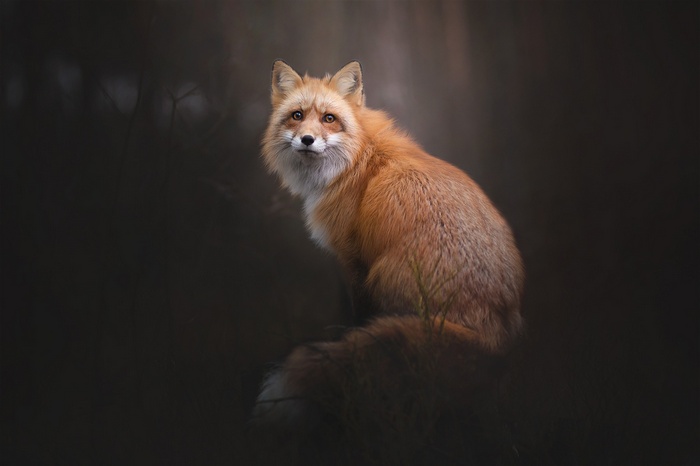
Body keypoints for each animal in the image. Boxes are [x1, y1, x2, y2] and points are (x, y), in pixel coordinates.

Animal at [254, 60, 525, 433]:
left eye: (328, 118)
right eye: (297, 115)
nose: (307, 139)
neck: (357, 158)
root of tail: (496, 336)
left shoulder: (353, 258)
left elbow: (356, 318)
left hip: (383, 276)